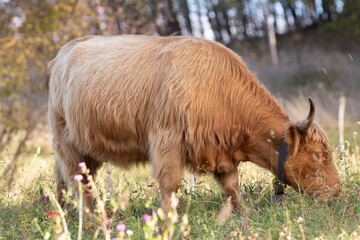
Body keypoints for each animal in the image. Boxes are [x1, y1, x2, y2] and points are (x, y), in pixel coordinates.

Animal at [46, 35, 342, 212]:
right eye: (317, 155)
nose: (338, 191)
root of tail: (63, 52)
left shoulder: (222, 152)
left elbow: (232, 187)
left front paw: (241, 213)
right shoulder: (166, 138)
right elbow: (171, 184)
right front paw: (168, 220)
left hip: (85, 149)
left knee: (64, 178)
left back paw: (62, 211)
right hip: (65, 141)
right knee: (77, 182)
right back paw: (91, 218)